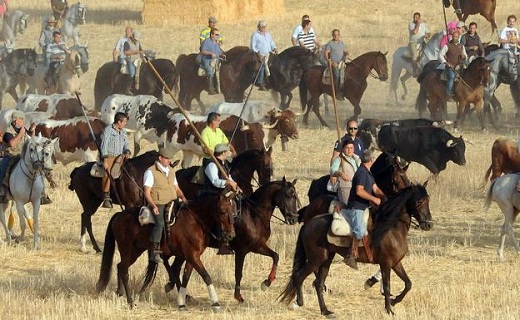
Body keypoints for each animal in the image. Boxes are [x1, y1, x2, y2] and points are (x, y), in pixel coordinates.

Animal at [94, 190, 237, 310]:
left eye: (233, 211)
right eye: (222, 211)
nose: (231, 235)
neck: (195, 221)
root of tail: (119, 215)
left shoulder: (192, 256)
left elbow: (185, 277)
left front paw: (182, 302)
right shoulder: (192, 255)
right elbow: (206, 276)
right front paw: (216, 303)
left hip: (136, 250)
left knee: (120, 266)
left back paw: (120, 293)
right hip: (126, 249)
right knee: (124, 270)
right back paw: (130, 301)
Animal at [162, 179, 300, 304]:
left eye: (295, 195)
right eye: (288, 195)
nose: (293, 219)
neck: (254, 215)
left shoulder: (258, 246)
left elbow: (275, 256)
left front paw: (267, 282)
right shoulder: (241, 251)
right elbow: (238, 273)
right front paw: (238, 296)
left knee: (175, 268)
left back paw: (179, 292)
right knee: (174, 267)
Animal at [278, 181, 432, 316]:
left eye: (428, 200)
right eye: (418, 202)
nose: (428, 224)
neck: (391, 228)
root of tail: (308, 224)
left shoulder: (396, 263)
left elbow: (408, 284)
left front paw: (394, 302)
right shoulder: (386, 264)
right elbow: (388, 287)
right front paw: (389, 310)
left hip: (326, 259)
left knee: (318, 283)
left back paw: (325, 311)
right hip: (316, 259)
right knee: (299, 276)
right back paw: (300, 302)